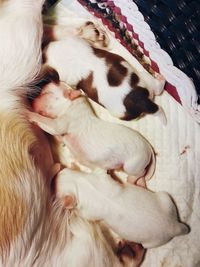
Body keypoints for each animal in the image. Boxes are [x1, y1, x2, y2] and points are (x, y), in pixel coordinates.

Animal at [54, 170, 188, 249]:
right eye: (63, 171)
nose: (55, 175)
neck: (81, 184)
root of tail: (175, 226)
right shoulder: (101, 178)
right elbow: (103, 172)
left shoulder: (89, 211)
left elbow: (86, 215)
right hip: (166, 199)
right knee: (165, 196)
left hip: (153, 242)